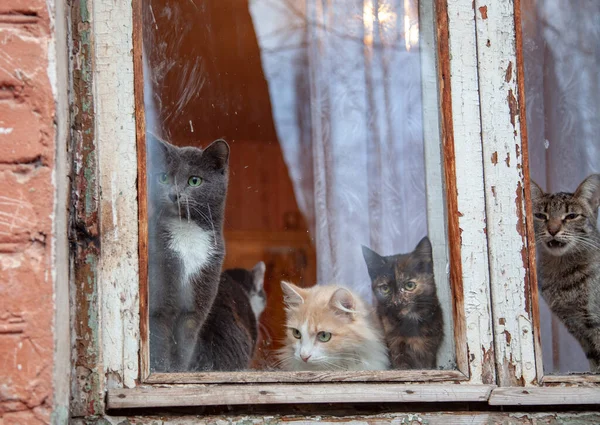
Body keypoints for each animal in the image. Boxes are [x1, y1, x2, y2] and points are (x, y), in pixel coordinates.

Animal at [358, 237, 442, 370]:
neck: (411, 322)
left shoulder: (430, 349)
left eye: (409, 285)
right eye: (385, 288)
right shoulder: (394, 348)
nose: (397, 302)